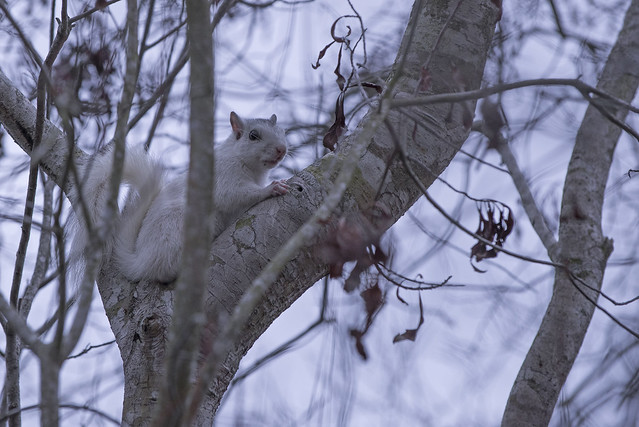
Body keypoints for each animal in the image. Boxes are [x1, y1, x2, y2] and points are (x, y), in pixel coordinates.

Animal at [71, 112, 288, 282]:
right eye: (253, 136)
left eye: (283, 132)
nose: (282, 149)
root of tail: (141, 262)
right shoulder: (223, 177)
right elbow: (234, 195)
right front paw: (271, 188)